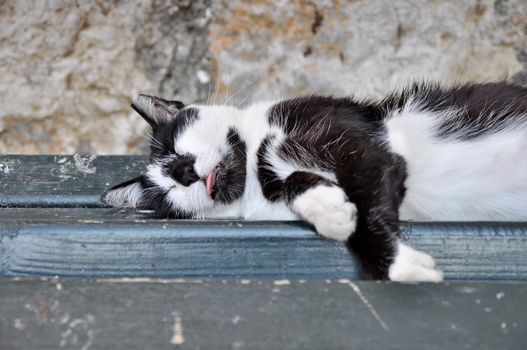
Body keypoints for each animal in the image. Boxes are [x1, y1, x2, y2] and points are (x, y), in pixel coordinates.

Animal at [102, 83, 527, 284]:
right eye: (166, 191)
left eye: (174, 147)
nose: (183, 173)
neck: (254, 165)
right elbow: (295, 186)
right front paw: (328, 209)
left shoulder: (360, 140)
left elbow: (370, 203)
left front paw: (397, 266)